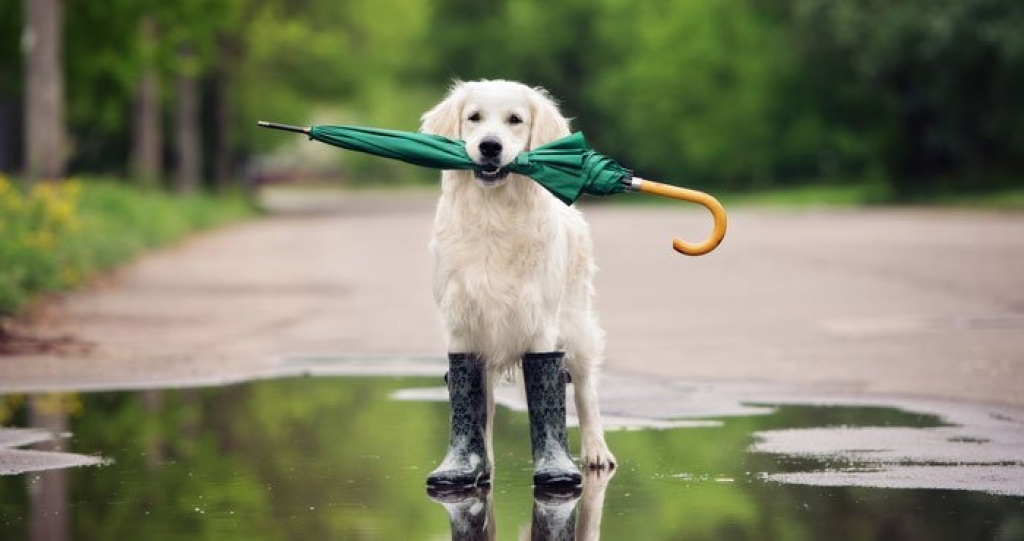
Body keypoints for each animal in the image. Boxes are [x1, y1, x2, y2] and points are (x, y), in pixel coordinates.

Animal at [417, 78, 610, 475]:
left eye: (515, 120)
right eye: (474, 117)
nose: (490, 146)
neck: (494, 215)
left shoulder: (540, 324)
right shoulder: (462, 324)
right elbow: (475, 404)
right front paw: (472, 464)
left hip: (576, 326)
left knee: (586, 391)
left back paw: (596, 452)